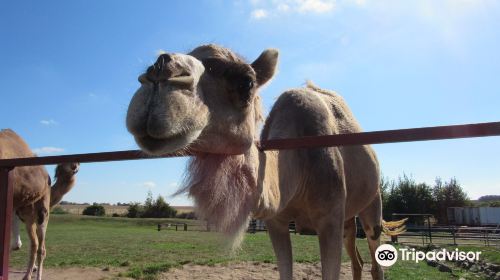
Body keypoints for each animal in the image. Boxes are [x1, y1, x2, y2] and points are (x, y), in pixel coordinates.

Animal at [0, 129, 78, 280]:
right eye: (63, 163)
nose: (75, 166)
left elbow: (17, 244)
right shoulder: (19, 212)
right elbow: (17, 244)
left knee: (37, 246)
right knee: (37, 245)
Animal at [126, 44, 402, 278]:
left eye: (247, 82)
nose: (159, 71)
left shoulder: (329, 219)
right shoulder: (276, 222)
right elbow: (285, 271)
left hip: (372, 204)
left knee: (375, 260)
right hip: (348, 219)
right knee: (358, 261)